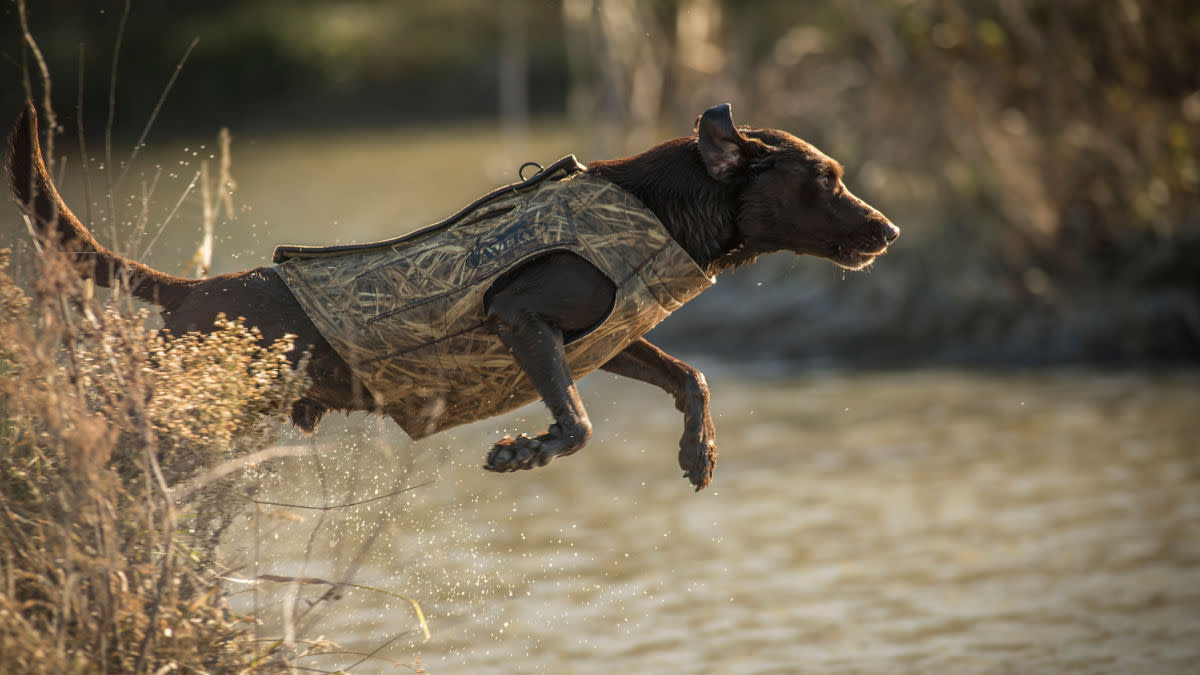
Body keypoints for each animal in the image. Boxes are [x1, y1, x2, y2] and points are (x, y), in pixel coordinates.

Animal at [7, 102, 892, 485]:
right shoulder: (521, 316)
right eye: (825, 180)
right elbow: (577, 423)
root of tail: (192, 289)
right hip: (178, 409)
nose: (888, 231)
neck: (661, 211)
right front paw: (524, 449)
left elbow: (692, 376)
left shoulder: (606, 336)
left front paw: (697, 452)